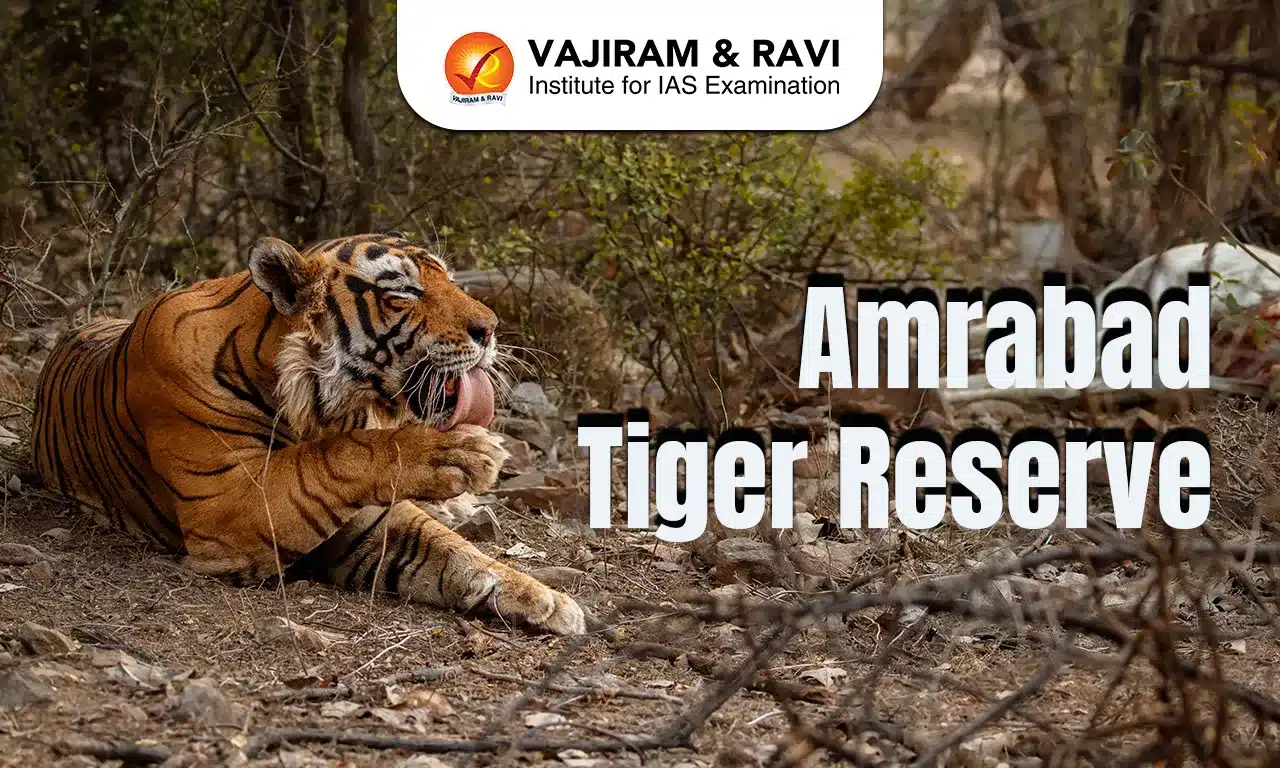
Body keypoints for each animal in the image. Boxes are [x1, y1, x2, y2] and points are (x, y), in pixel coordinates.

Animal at [30, 232, 586, 635]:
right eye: (403, 292)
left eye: (448, 278)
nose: (491, 328)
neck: (319, 406)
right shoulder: (228, 503)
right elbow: (332, 457)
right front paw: (460, 451)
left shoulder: (367, 520)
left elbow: (453, 551)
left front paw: (546, 600)